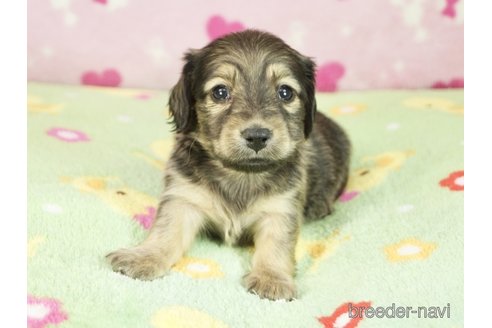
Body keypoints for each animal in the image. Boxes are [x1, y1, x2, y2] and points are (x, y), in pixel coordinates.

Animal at [107, 29, 350, 302]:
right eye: (220, 92)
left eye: (285, 92)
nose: (257, 136)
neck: (241, 173)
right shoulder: (183, 198)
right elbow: (167, 231)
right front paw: (144, 257)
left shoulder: (281, 209)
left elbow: (276, 246)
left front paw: (271, 278)